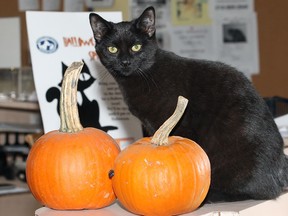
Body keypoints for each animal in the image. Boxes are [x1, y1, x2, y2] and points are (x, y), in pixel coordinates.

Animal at [89, 7, 286, 202]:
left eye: (136, 47)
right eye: (112, 49)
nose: (125, 62)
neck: (144, 76)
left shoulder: (177, 124)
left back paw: (210, 195)